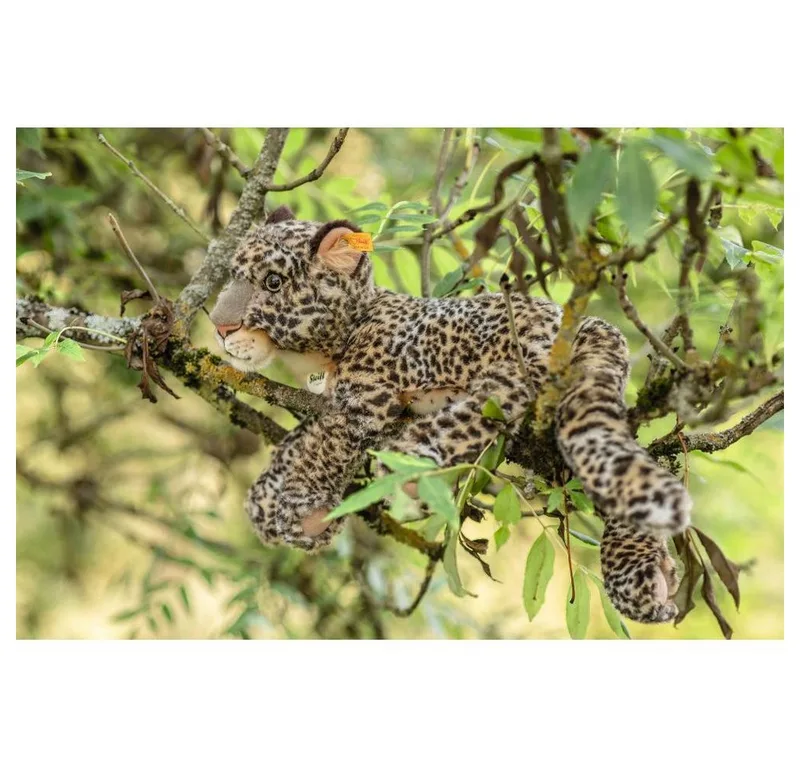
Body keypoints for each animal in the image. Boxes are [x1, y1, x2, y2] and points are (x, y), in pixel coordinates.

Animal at [208, 205, 693, 625]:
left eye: (272, 282)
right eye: (232, 276)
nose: (218, 325)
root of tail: (591, 323)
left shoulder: (365, 397)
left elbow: (322, 440)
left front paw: (301, 507)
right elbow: (300, 438)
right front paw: (268, 501)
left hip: (516, 362)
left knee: (493, 400)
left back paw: (410, 465)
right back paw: (650, 576)